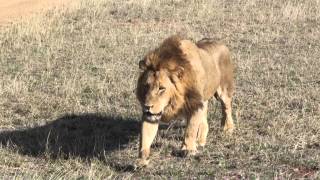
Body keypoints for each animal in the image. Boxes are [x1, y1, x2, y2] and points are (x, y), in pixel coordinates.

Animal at [136, 35, 235, 166]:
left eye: (161, 88)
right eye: (146, 86)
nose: (147, 106)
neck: (174, 102)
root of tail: (220, 43)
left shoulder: (195, 104)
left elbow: (191, 129)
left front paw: (188, 149)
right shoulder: (150, 115)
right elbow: (145, 136)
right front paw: (142, 160)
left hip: (223, 90)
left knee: (226, 108)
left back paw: (227, 128)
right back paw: (200, 140)